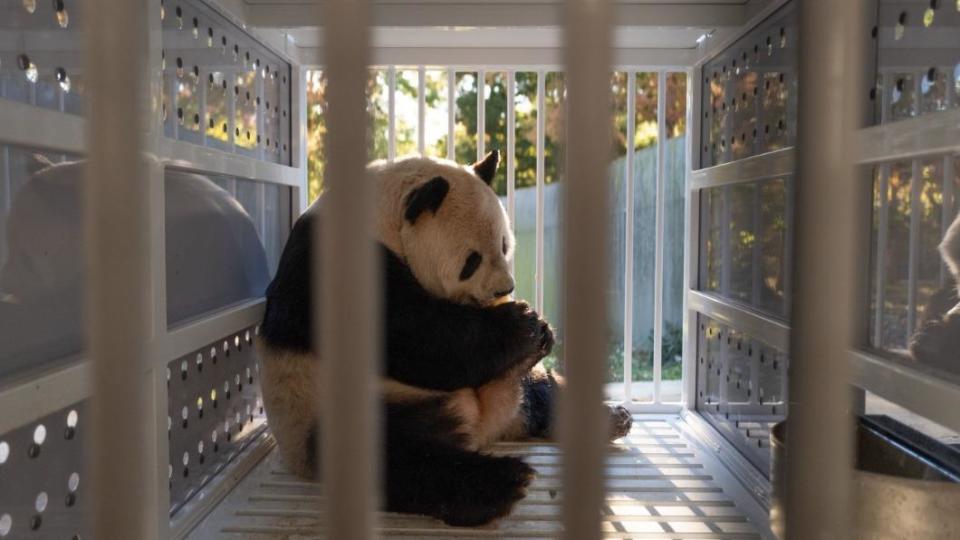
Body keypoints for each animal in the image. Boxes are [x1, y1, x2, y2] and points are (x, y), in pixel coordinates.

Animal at [258, 152, 632, 528]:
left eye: (504, 245)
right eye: (472, 261)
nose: (504, 289)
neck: (383, 220)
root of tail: (479, 426)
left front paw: (540, 330)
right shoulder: (336, 264)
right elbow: (416, 336)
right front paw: (521, 323)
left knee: (541, 390)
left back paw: (610, 417)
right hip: (334, 410)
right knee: (396, 458)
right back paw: (500, 484)